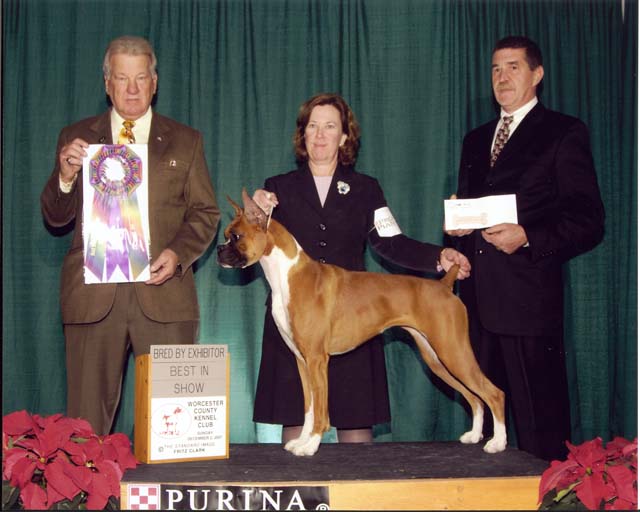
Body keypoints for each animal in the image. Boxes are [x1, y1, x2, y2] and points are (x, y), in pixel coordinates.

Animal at [218, 189, 508, 456]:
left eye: (236, 237)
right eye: (226, 236)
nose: (219, 250)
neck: (287, 274)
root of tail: (445, 285)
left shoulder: (317, 360)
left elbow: (321, 411)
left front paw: (310, 445)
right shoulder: (302, 361)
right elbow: (309, 408)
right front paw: (301, 441)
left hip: (453, 352)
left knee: (493, 393)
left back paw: (498, 443)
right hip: (437, 359)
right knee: (475, 397)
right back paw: (474, 435)